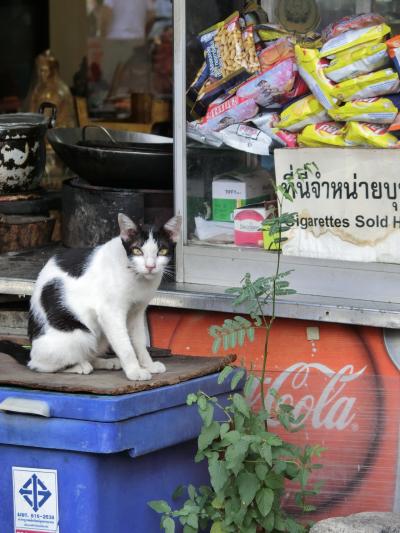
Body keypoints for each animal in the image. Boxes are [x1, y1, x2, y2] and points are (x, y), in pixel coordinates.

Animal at [28, 214, 183, 380]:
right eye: (137, 250)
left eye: (162, 251)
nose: (150, 266)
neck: (137, 277)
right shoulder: (110, 313)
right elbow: (125, 346)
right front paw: (135, 371)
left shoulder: (137, 312)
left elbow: (139, 342)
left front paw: (149, 365)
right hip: (79, 334)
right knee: (41, 365)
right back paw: (80, 366)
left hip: (99, 336)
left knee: (89, 354)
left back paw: (106, 362)